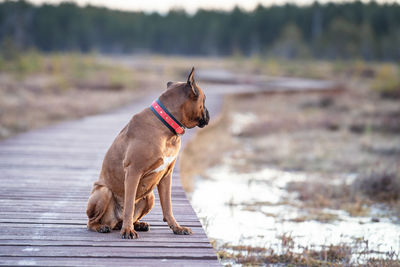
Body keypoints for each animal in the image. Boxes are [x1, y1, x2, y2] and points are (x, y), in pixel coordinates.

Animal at [85, 68, 209, 240]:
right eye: (204, 100)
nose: (208, 114)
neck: (166, 127)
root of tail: (114, 221)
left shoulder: (166, 176)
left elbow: (168, 206)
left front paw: (177, 227)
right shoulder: (133, 171)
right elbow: (129, 205)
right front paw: (128, 230)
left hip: (150, 196)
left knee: (126, 218)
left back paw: (138, 224)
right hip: (103, 192)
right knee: (92, 222)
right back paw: (103, 227)